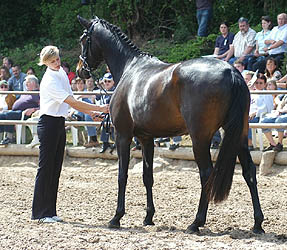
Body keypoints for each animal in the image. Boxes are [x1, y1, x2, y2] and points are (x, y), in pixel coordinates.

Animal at [77, 15, 266, 234]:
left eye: (83, 39)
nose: (80, 70)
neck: (130, 69)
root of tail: (231, 72)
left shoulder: (123, 135)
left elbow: (122, 175)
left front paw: (117, 217)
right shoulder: (146, 138)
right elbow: (147, 176)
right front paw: (148, 217)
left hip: (200, 138)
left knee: (206, 174)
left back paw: (196, 222)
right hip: (239, 136)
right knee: (249, 172)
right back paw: (257, 223)